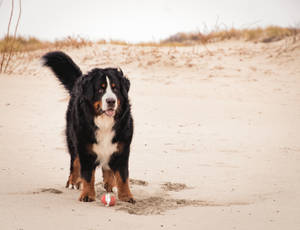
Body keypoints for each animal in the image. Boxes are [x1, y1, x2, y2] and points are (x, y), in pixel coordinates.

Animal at [42, 51, 135, 203]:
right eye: (100, 89)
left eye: (115, 88)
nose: (111, 101)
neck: (104, 122)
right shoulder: (85, 148)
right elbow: (87, 174)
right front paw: (87, 194)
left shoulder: (121, 148)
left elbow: (123, 176)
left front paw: (126, 196)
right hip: (72, 139)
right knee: (75, 162)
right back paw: (73, 181)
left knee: (107, 167)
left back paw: (110, 184)